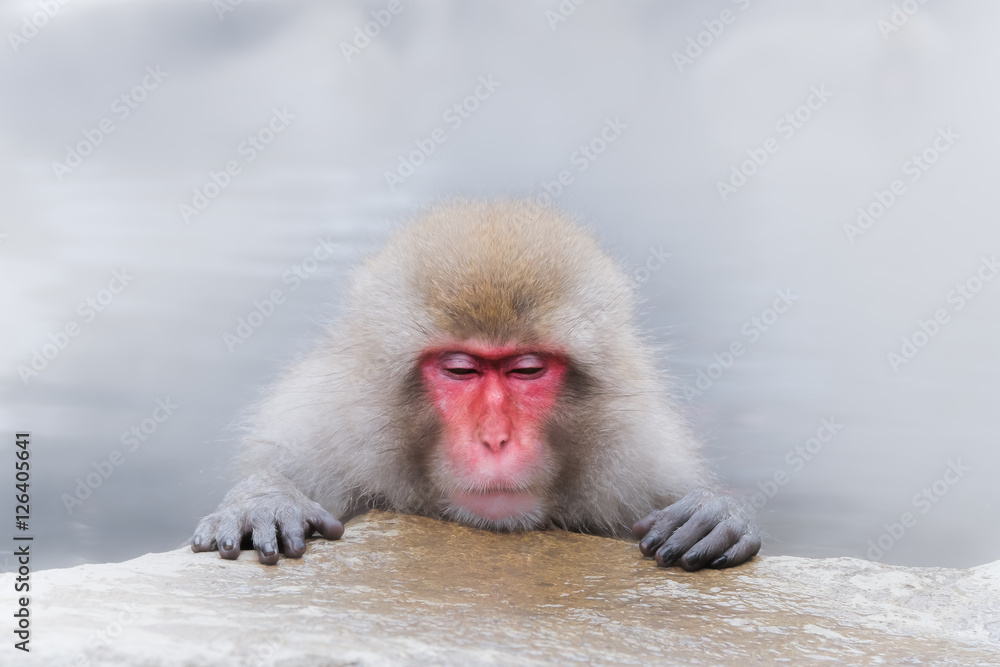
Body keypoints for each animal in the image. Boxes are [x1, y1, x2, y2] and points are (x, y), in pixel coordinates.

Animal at [191, 199, 761, 571]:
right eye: (461, 370)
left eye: (526, 370)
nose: (494, 438)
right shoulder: (325, 431)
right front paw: (265, 500)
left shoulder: (642, 458)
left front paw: (717, 511)